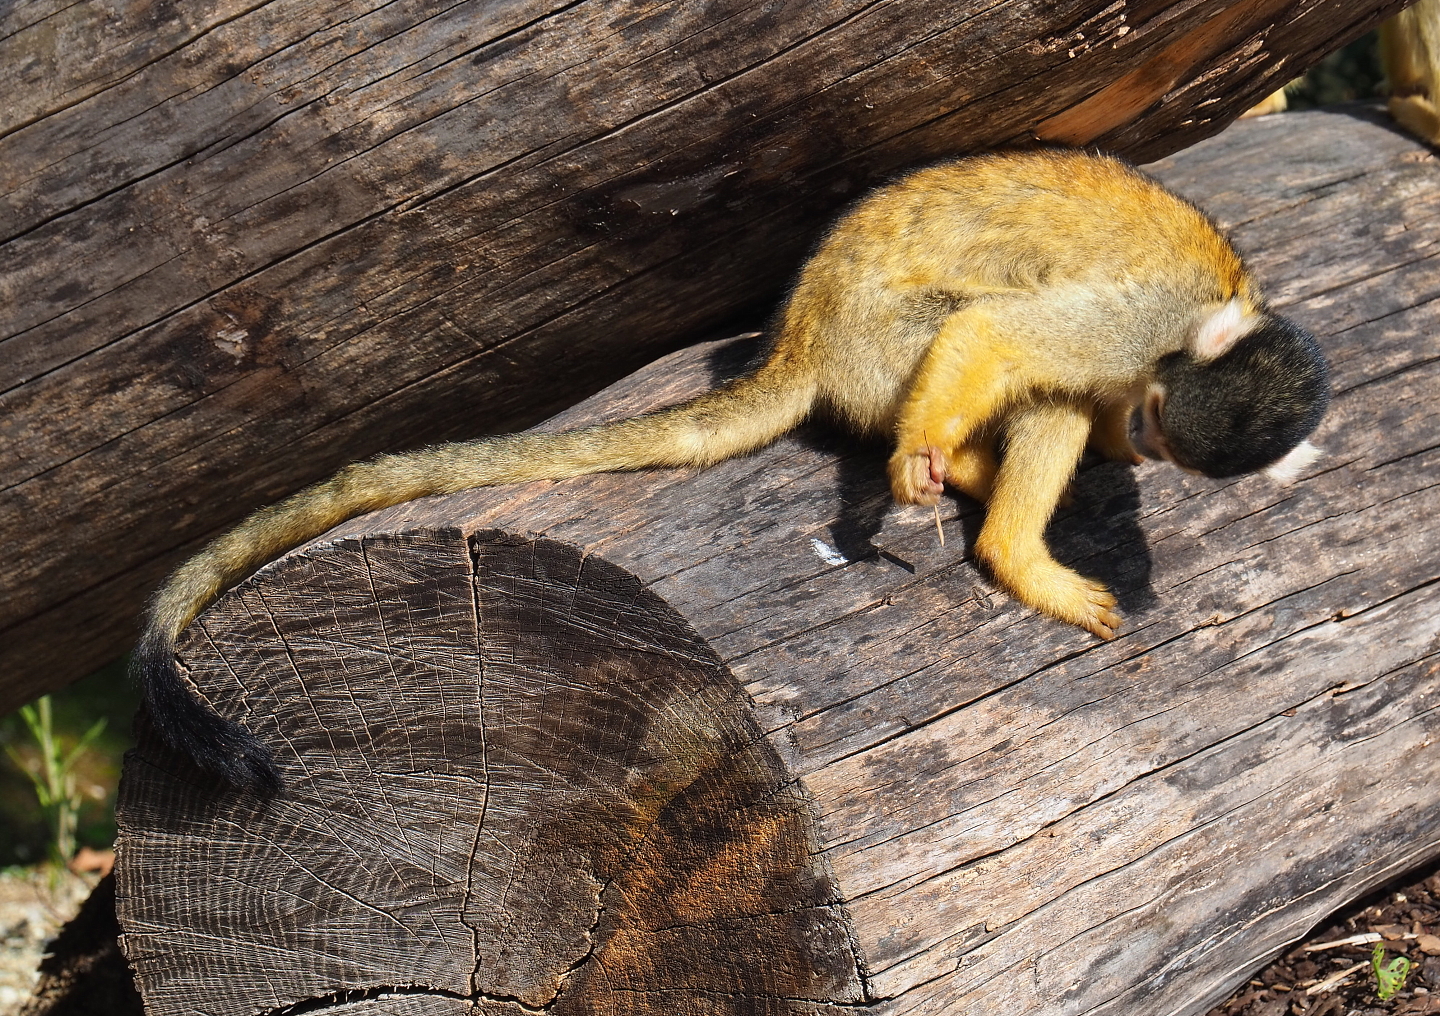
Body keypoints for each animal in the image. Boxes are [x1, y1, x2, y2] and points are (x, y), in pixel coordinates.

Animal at [134, 148, 1330, 794]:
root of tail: (800, 331)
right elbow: (1007, 337)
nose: (1151, 437)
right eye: (1167, 418)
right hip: (882, 343)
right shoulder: (1138, 322)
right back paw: (989, 515)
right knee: (1009, 360)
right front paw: (938, 464)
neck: (1196, 329)